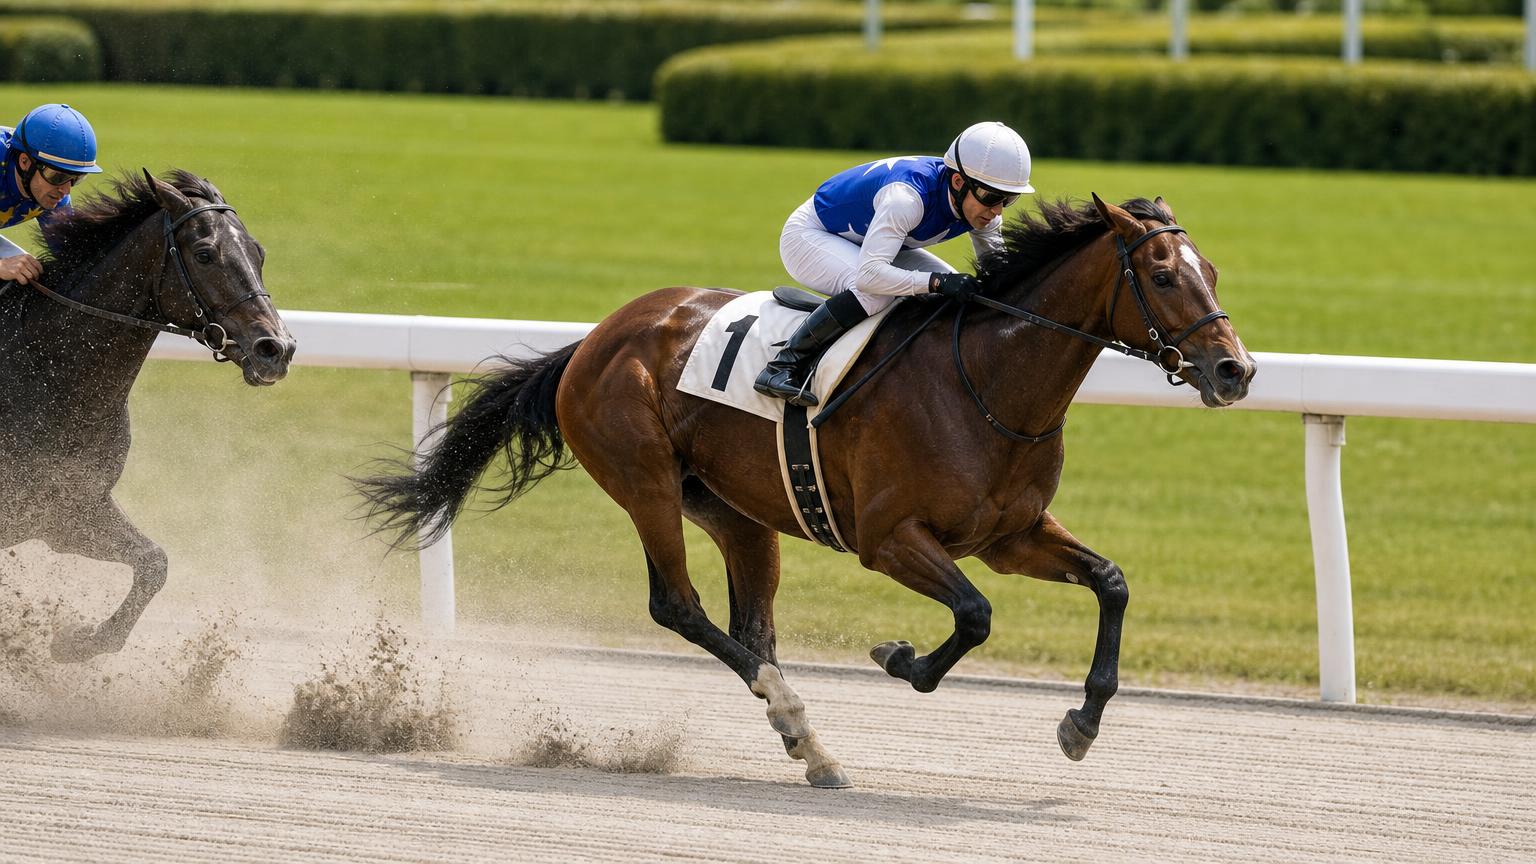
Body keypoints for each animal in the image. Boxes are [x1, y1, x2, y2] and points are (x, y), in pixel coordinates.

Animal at [0, 169, 295, 663]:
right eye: (205, 253)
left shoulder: (67, 511)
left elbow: (155, 562)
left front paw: (80, 640)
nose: (277, 348)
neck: (50, 376)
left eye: (259, 252)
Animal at [355, 194, 1255, 787]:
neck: (988, 380)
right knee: (678, 606)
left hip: (735, 510)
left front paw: (1082, 723)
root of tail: (595, 339)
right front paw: (901, 658)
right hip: (644, 480)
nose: (1235, 371)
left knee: (751, 627)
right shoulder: (890, 539)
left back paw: (808, 742)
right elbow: (973, 615)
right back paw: (797, 721)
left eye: (1213, 269)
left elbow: (1111, 582)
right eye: (1164, 275)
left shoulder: (1009, 536)